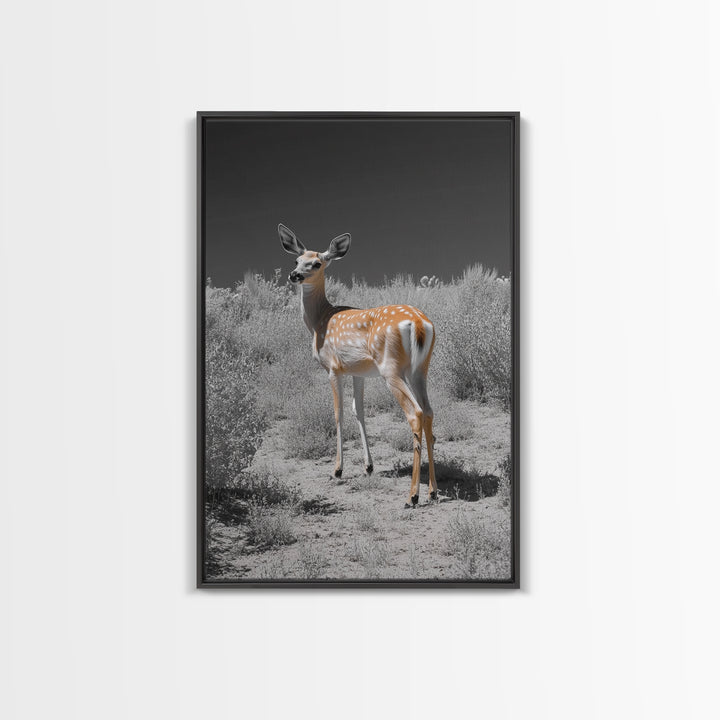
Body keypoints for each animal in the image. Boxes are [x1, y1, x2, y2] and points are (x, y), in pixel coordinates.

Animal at [279, 223, 437, 508]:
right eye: (296, 260)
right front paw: (368, 466)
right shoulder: (358, 372)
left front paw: (337, 470)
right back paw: (432, 491)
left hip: (391, 369)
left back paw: (412, 496)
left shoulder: (333, 368)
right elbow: (359, 411)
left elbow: (338, 412)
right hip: (420, 369)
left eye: (317, 263)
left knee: (415, 413)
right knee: (429, 411)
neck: (319, 320)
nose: (294, 275)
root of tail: (419, 324)